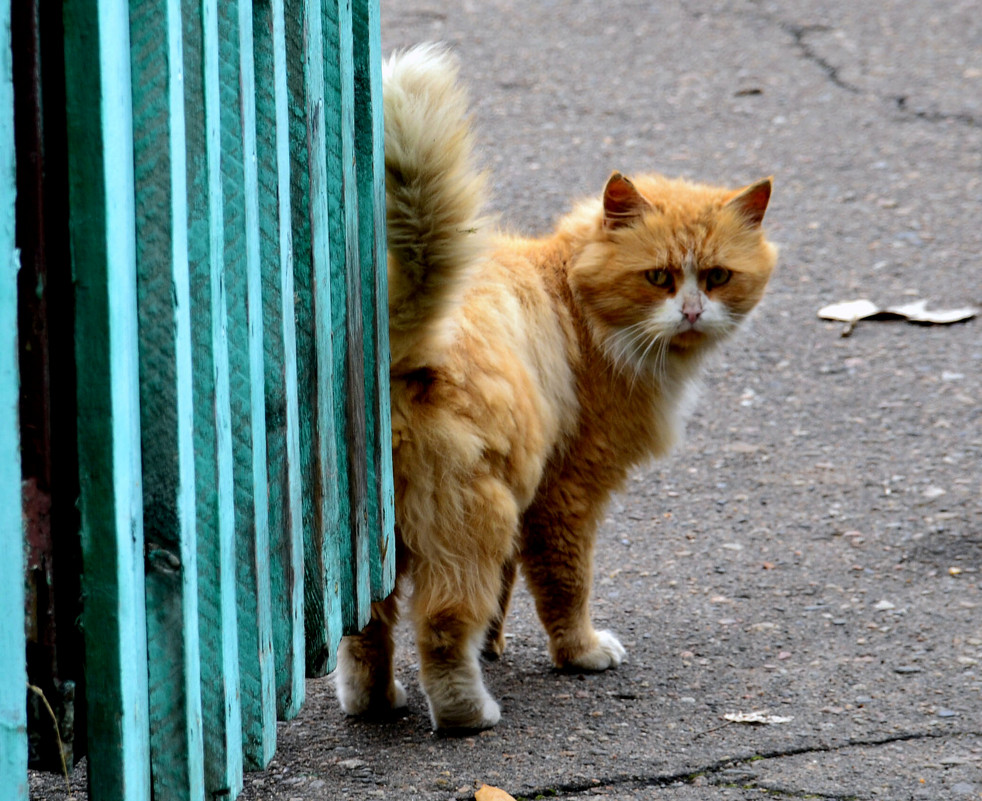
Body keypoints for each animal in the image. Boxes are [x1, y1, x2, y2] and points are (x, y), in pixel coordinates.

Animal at [334, 43, 780, 732]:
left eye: (717, 277)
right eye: (659, 278)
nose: (691, 313)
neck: (576, 301)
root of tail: (404, 341)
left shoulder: (531, 495)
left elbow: (510, 588)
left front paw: (496, 645)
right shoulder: (566, 492)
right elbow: (566, 587)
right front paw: (581, 653)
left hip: (372, 548)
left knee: (364, 632)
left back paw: (376, 702)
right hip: (468, 521)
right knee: (440, 629)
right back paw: (469, 715)